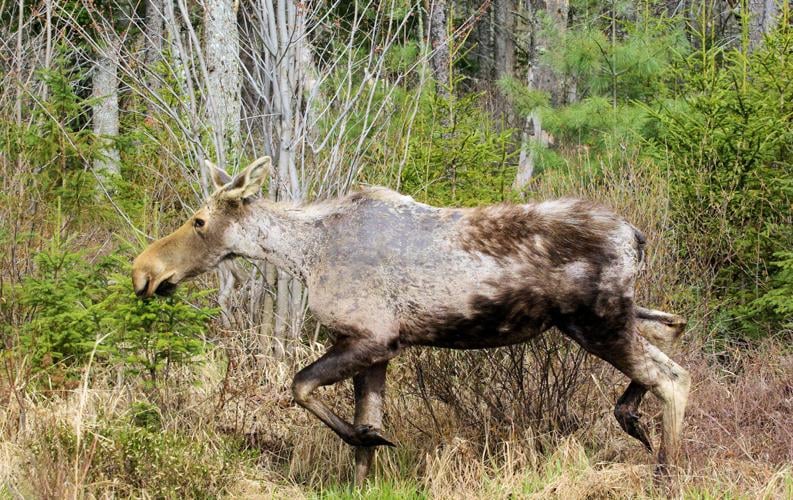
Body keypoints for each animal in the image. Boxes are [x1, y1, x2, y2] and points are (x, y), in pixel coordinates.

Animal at [132, 156, 690, 484]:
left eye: (199, 221)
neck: (304, 255)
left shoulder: (372, 337)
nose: (143, 271)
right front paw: (367, 453)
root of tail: (638, 236)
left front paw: (370, 438)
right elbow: (363, 431)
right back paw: (632, 417)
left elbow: (300, 386)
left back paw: (663, 474)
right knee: (671, 331)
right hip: (612, 316)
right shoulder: (377, 347)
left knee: (673, 377)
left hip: (596, 320)